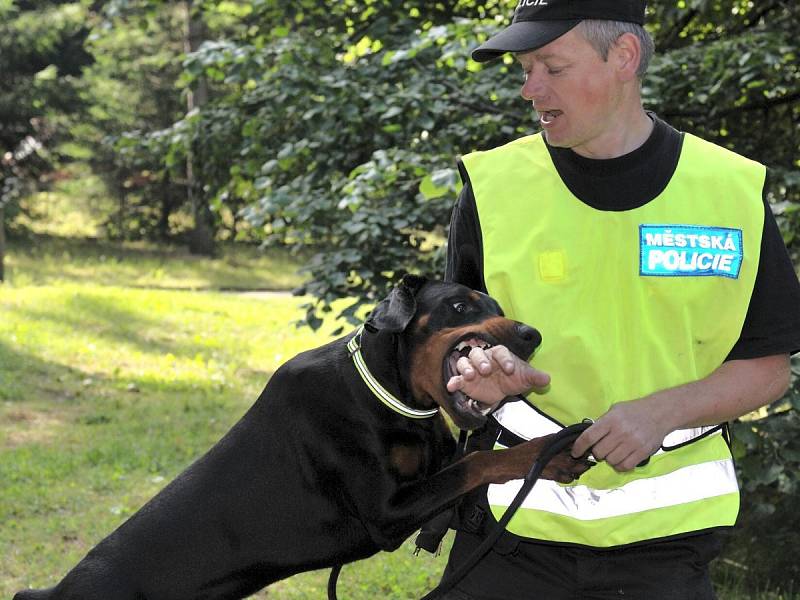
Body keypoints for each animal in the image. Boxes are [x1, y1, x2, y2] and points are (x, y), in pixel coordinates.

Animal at [10, 276, 588, 600]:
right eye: (462, 307)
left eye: (496, 306)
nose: (532, 335)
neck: (389, 395)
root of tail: (54, 591)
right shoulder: (386, 515)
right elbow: (480, 463)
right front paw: (554, 453)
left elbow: (479, 459)